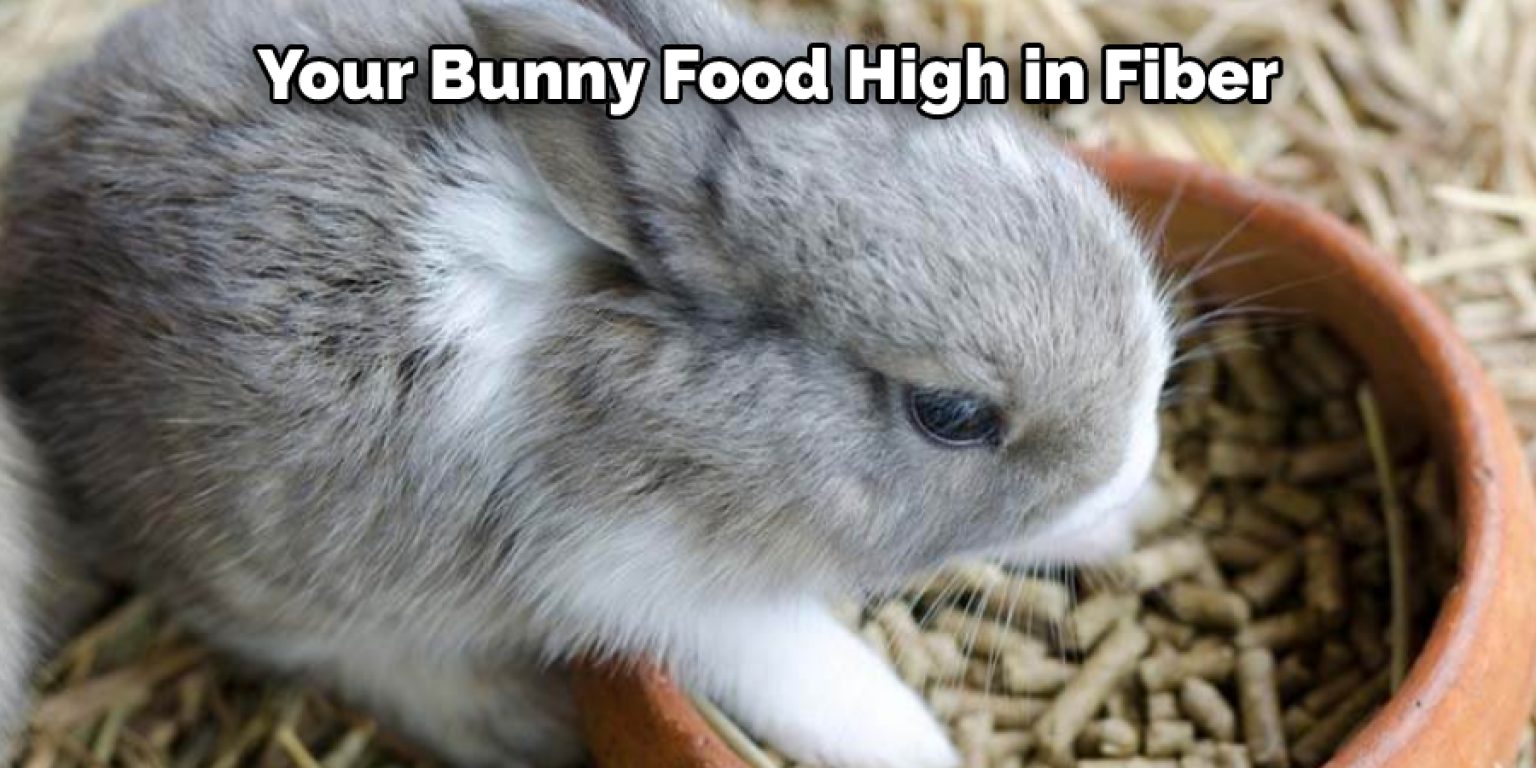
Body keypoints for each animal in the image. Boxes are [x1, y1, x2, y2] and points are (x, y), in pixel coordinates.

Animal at [0, 0, 1173, 765]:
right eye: (953, 416)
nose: (1132, 467)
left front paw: (1114, 525)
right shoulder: (648, 581)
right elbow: (812, 674)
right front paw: (918, 746)